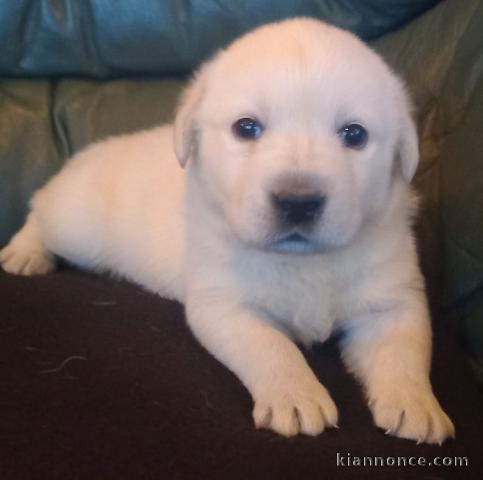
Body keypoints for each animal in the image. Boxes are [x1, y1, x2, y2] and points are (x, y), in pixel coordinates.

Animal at [0, 19, 454, 446]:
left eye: (354, 134)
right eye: (246, 128)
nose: (297, 202)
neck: (303, 262)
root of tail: (91, 151)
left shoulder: (394, 299)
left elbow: (404, 351)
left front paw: (416, 404)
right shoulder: (224, 305)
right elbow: (270, 345)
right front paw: (295, 395)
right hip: (76, 226)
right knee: (40, 208)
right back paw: (24, 252)